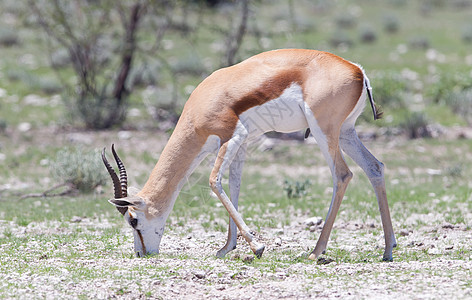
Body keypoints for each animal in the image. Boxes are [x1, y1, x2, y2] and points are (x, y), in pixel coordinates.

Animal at [104, 48, 398, 260]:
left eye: (132, 220)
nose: (141, 253)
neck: (202, 104)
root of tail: (357, 70)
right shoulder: (241, 144)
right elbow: (234, 185)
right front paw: (227, 248)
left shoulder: (233, 136)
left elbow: (214, 181)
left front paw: (257, 247)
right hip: (346, 132)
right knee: (375, 167)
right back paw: (388, 249)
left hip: (323, 132)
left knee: (343, 175)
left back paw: (316, 251)